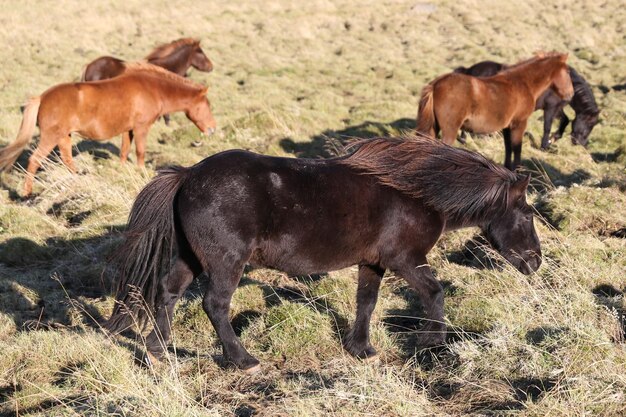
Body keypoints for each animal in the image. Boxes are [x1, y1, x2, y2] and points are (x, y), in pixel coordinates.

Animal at [0, 63, 216, 197]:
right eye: (207, 105)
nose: (213, 129)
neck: (152, 88)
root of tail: (42, 98)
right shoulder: (141, 128)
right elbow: (140, 152)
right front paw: (141, 173)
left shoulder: (128, 130)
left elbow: (124, 151)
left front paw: (122, 170)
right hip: (51, 137)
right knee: (35, 160)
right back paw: (27, 192)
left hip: (64, 137)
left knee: (67, 159)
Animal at [105, 136, 540, 374]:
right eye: (528, 214)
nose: (535, 261)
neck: (415, 191)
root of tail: (187, 176)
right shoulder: (405, 259)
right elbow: (434, 292)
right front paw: (432, 342)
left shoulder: (373, 262)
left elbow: (366, 302)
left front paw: (361, 349)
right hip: (226, 263)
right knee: (215, 305)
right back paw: (243, 360)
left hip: (190, 257)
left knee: (167, 293)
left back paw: (158, 354)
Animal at [416, 53, 572, 169]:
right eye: (567, 71)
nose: (570, 94)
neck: (523, 83)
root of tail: (435, 85)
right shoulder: (519, 124)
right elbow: (517, 148)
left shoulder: (507, 127)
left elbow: (508, 148)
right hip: (450, 130)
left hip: (434, 128)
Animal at [454, 60, 596, 148]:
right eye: (589, 124)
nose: (582, 143)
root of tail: (469, 70)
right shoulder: (550, 107)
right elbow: (547, 126)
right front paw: (545, 145)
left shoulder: (556, 108)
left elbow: (565, 120)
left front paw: (553, 139)